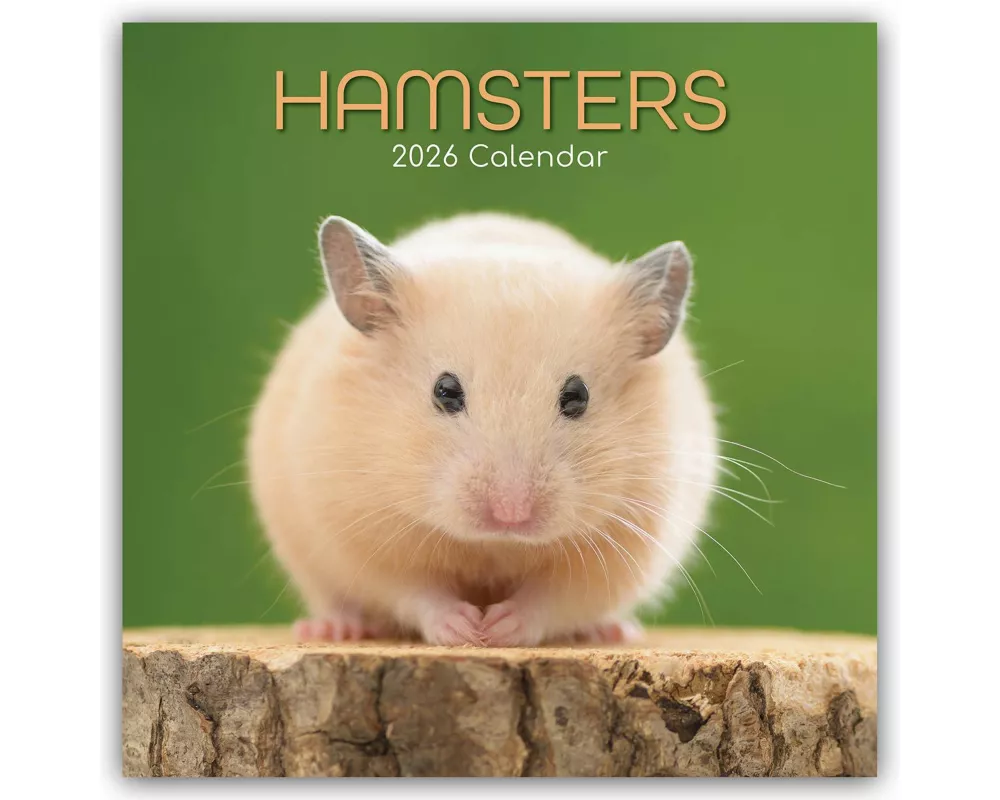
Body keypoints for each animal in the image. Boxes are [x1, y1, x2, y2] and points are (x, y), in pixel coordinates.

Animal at [247, 212, 718, 646]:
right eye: (445, 390)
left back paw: (613, 632)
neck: (494, 545)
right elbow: (415, 591)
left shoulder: (621, 548)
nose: (511, 514)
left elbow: (552, 600)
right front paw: (466, 630)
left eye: (577, 396)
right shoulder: (359, 536)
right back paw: (334, 628)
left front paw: (498, 630)